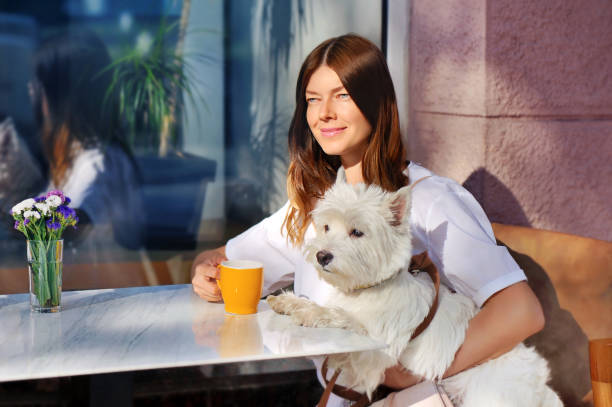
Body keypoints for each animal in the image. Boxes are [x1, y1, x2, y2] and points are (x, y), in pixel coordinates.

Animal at [266, 168, 560, 404]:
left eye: (357, 232)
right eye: (326, 226)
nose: (322, 255)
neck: (369, 289)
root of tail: (542, 390)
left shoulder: (376, 354)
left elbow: (344, 320)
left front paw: (311, 313)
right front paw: (287, 301)